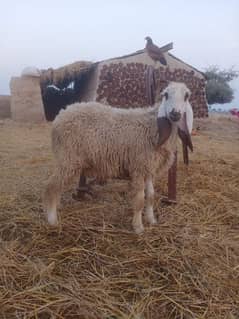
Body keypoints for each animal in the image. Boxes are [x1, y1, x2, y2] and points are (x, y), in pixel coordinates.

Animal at [43, 81, 192, 234]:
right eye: (166, 95)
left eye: (186, 96)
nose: (175, 113)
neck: (153, 126)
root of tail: (62, 113)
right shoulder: (139, 166)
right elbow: (140, 199)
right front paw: (138, 227)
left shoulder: (149, 167)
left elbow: (150, 195)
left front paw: (151, 219)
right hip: (67, 158)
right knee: (51, 186)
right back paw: (52, 220)